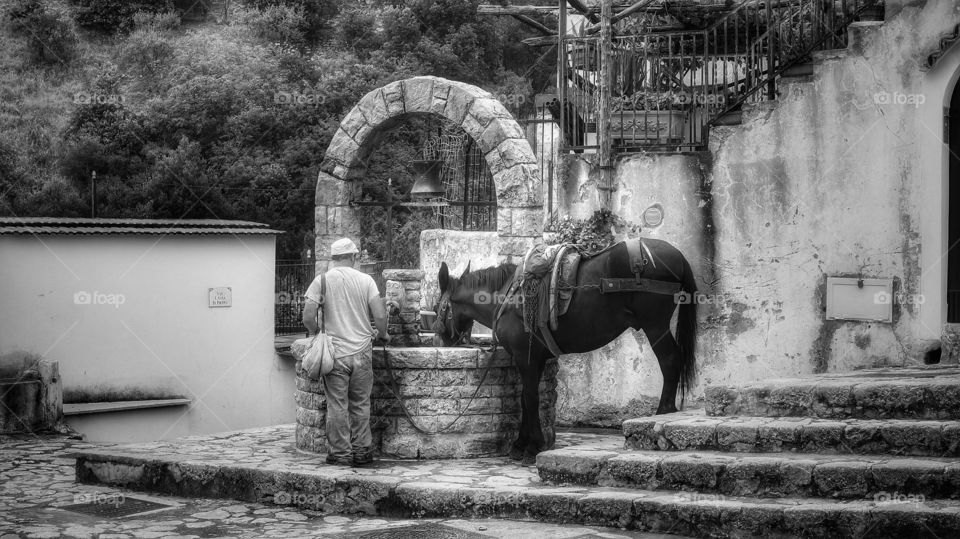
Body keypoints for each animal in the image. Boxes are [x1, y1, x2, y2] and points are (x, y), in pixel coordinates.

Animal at [436, 239, 696, 464]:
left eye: (438, 307)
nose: (444, 338)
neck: (506, 297)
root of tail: (679, 257)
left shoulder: (525, 357)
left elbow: (530, 398)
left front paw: (532, 446)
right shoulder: (535, 358)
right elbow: (525, 399)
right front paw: (521, 444)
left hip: (655, 326)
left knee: (670, 361)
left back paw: (663, 414)